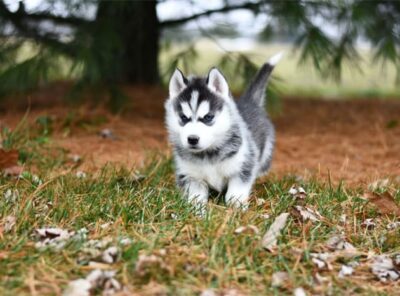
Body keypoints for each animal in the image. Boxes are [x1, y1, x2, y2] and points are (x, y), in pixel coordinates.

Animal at [164, 53, 282, 210]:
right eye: (183, 117)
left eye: (208, 117)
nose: (192, 139)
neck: (208, 155)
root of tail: (250, 102)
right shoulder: (191, 176)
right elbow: (196, 197)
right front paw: (198, 211)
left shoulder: (243, 166)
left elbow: (235, 192)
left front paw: (236, 208)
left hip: (265, 153)